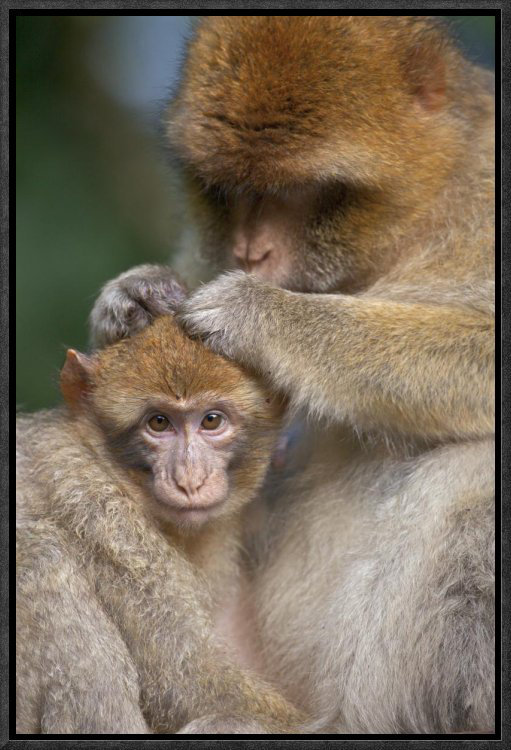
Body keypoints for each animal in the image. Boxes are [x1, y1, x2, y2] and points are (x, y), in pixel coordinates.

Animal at [16, 311, 305, 735]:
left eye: (211, 421)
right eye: (158, 422)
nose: (189, 478)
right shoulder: (102, 518)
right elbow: (191, 683)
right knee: (37, 553)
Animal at [88, 17, 495, 734]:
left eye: (298, 192)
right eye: (225, 191)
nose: (252, 252)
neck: (418, 216)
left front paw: (262, 316)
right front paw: (132, 297)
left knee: (474, 470)